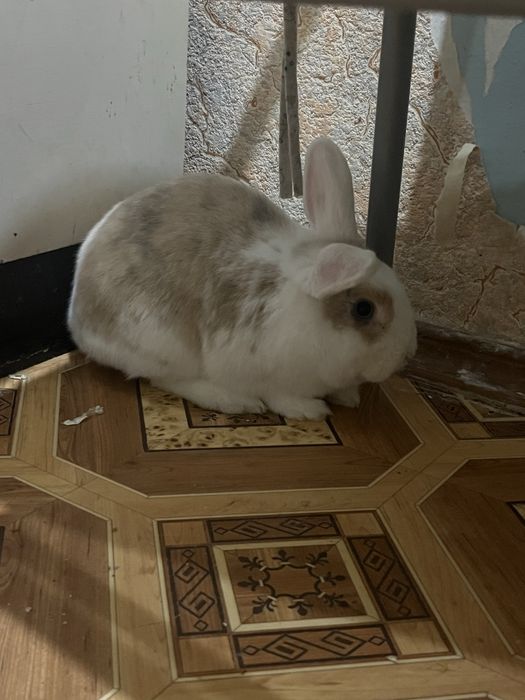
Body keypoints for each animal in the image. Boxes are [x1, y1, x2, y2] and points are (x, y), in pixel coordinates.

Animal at [68, 137, 417, 420]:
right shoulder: (260, 370)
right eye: (364, 309)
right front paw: (309, 410)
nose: (407, 355)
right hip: (161, 341)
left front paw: (348, 396)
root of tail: (77, 319)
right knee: (168, 379)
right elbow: (281, 395)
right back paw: (234, 401)